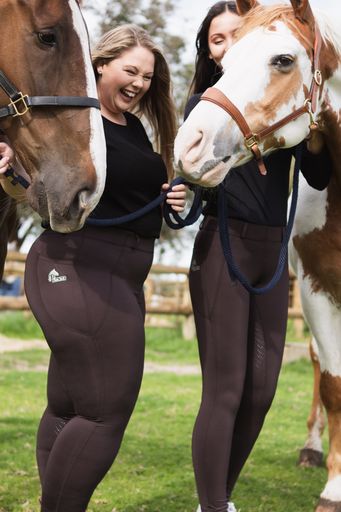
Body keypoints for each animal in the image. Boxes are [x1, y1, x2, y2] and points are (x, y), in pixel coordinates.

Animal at [174, 0, 340, 510]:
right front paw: (334, 488)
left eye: (283, 60)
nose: (188, 146)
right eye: (223, 61)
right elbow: (334, 384)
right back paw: (312, 449)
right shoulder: (316, 291)